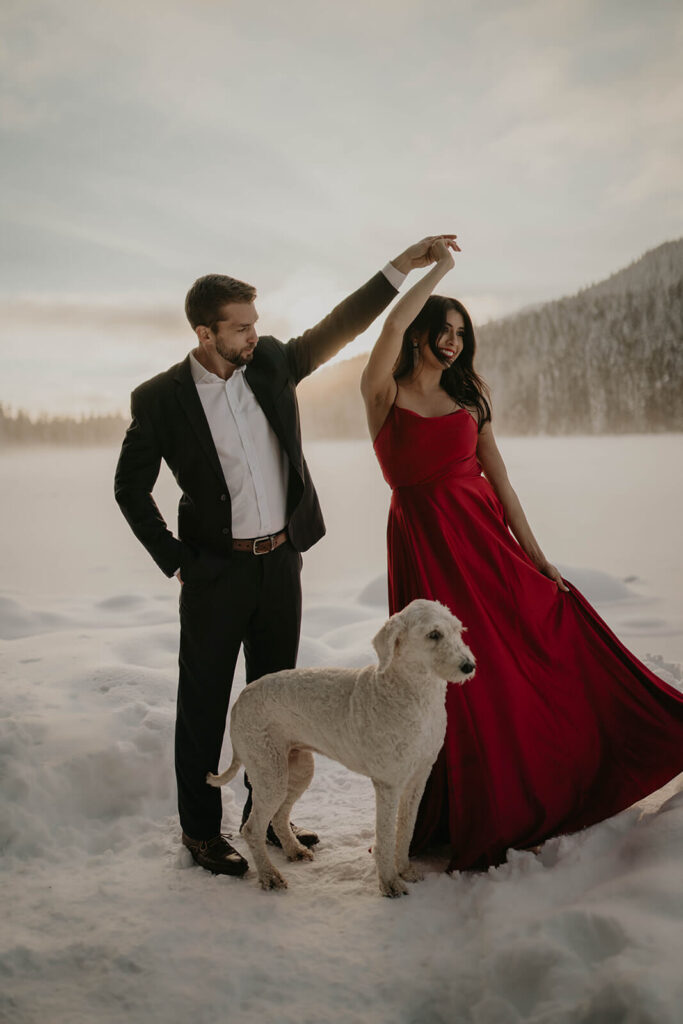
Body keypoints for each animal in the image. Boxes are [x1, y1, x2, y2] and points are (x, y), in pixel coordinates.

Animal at [208, 598, 475, 897]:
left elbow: (405, 829)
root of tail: (239, 702)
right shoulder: (388, 783)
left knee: (278, 817)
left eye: (457, 631)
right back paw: (270, 876)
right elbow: (386, 836)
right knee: (252, 829)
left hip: (297, 768)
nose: (469, 666)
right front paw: (390, 883)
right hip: (269, 770)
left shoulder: (418, 777)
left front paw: (405, 869)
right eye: (433, 634)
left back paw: (294, 850)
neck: (412, 692)